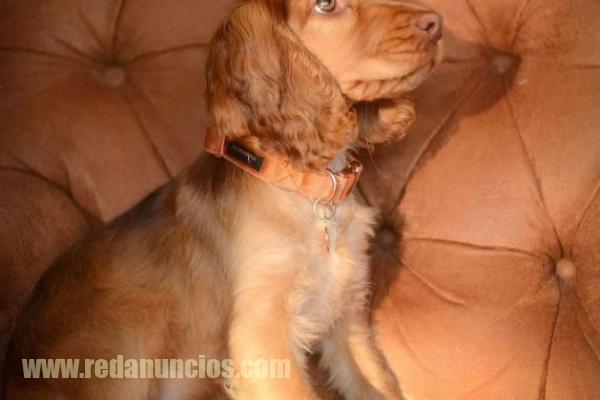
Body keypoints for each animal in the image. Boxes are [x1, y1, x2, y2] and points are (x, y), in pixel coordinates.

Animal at [3, 0, 442, 399]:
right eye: (325, 5)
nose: (436, 22)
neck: (306, 190)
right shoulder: (262, 335)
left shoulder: (345, 315)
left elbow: (377, 384)